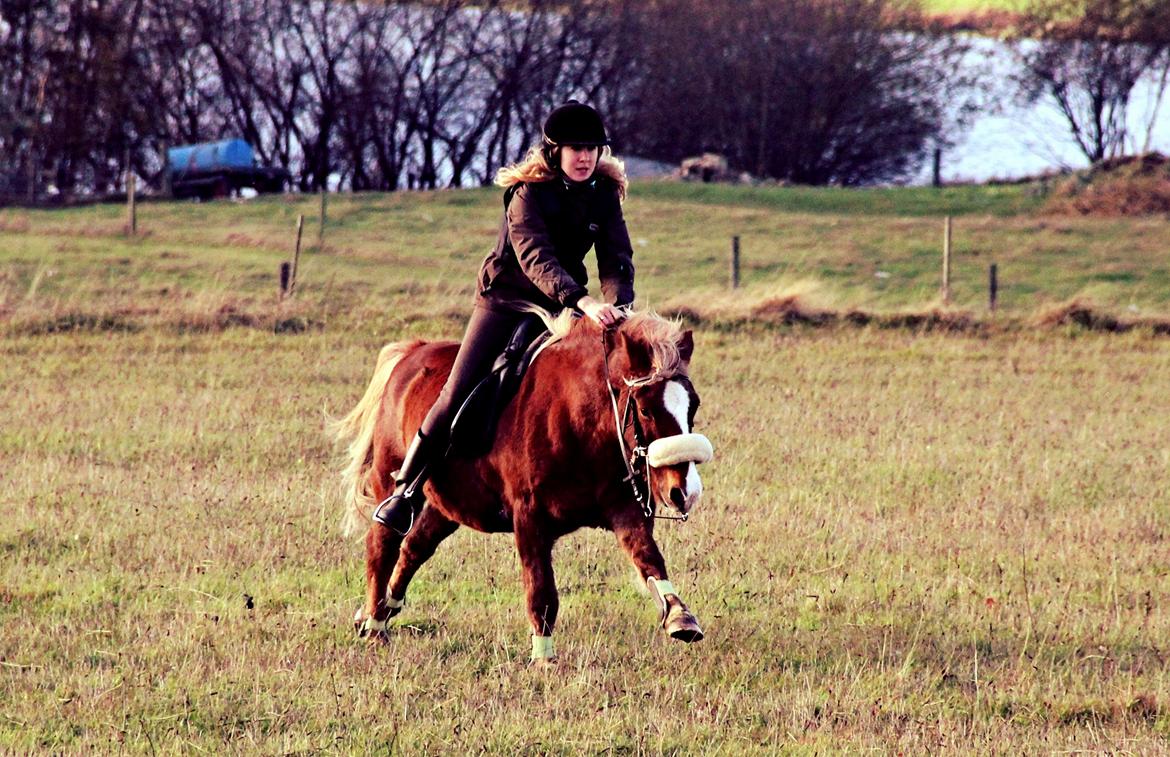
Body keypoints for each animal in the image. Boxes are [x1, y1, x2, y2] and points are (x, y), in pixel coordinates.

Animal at [332, 311, 711, 659]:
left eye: (693, 405)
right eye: (645, 410)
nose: (684, 492)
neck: (578, 421)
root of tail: (410, 354)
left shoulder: (624, 509)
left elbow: (648, 557)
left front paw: (680, 616)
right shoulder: (530, 516)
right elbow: (540, 590)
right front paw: (544, 660)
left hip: (447, 506)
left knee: (414, 547)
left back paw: (381, 610)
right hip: (390, 475)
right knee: (383, 542)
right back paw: (376, 626)